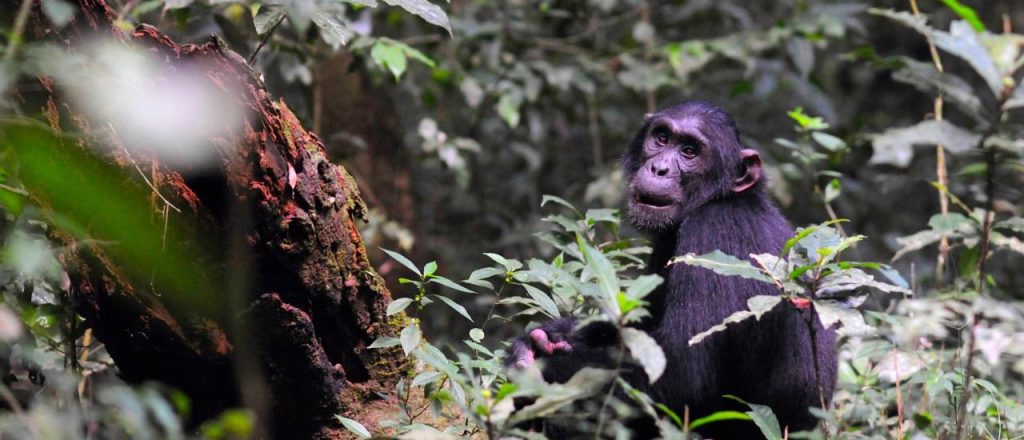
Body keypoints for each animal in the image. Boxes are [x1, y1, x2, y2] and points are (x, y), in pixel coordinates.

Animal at [512, 101, 839, 437]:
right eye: (661, 138)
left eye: (690, 151)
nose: (660, 168)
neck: (722, 199)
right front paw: (550, 334)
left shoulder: (713, 233)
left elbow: (683, 373)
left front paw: (543, 367)